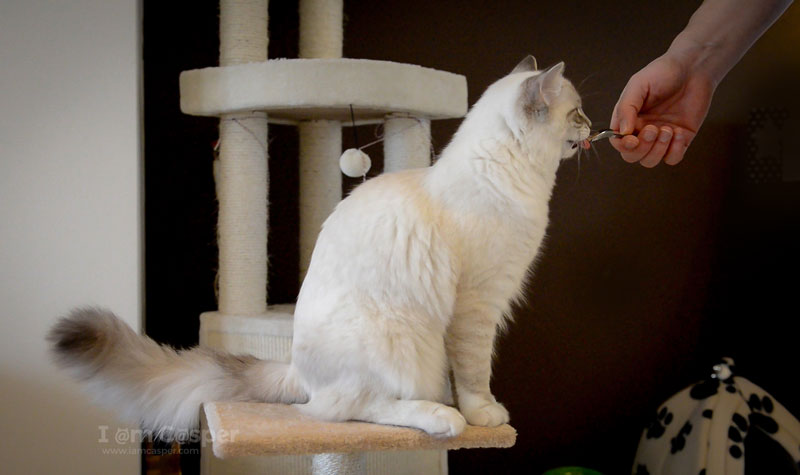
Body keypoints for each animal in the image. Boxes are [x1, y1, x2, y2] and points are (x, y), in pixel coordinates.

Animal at [48, 55, 588, 438]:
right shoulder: (477, 307)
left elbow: (463, 374)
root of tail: (296, 369)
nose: (592, 125)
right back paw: (441, 418)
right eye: (578, 111)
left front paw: (469, 406)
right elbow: (476, 374)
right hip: (400, 337)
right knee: (348, 410)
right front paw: (483, 415)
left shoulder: (478, 308)